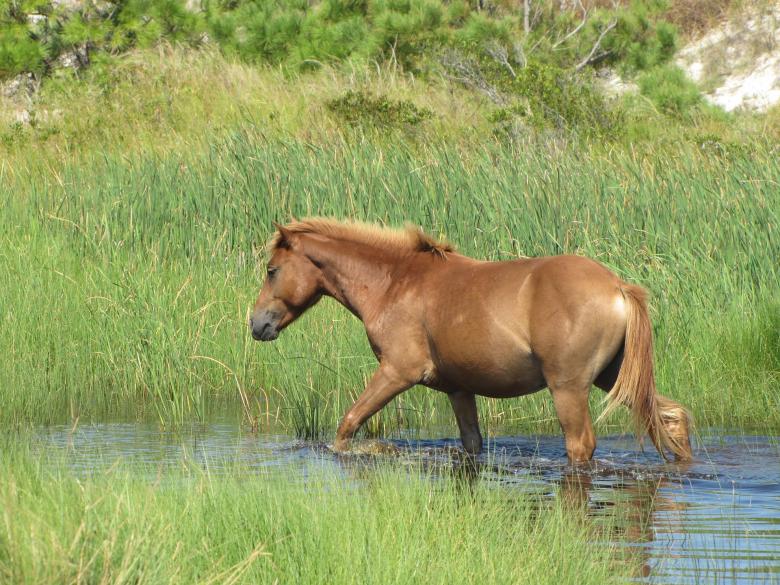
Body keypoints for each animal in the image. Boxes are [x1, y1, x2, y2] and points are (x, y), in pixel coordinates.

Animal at [250, 218, 692, 463]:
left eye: (272, 270)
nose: (256, 324)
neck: (394, 283)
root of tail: (617, 287)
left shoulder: (397, 372)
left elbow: (347, 426)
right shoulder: (458, 389)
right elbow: (472, 444)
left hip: (569, 388)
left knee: (580, 445)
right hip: (613, 379)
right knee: (673, 418)